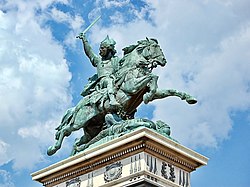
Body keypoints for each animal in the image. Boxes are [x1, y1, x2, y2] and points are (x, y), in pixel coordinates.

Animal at [46, 38, 195, 156]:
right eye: (154, 47)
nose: (163, 60)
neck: (134, 67)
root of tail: (77, 106)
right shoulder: (132, 86)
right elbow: (153, 77)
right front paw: (148, 95)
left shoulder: (151, 90)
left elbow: (168, 91)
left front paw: (188, 97)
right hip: (79, 121)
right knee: (65, 130)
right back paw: (53, 149)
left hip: (92, 127)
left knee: (79, 140)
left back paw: (76, 152)